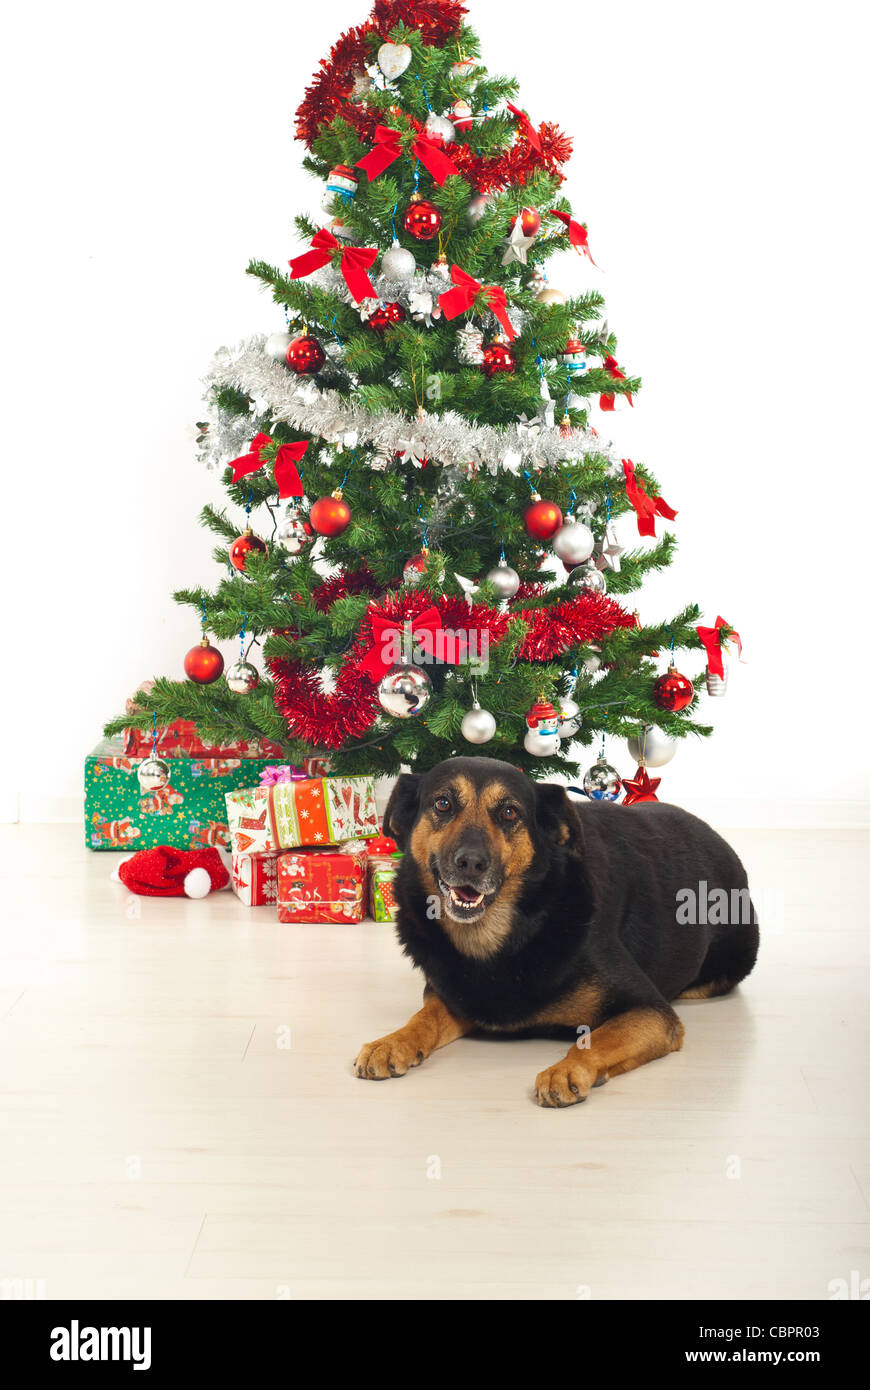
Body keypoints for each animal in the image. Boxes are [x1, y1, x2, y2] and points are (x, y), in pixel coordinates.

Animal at [348, 761, 756, 1106]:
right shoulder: (455, 995)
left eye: (509, 812)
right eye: (443, 803)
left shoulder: (651, 1012)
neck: (507, 936)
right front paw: (393, 1042)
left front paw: (567, 1069)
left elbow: (595, 1037)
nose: (470, 863)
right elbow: (424, 1017)